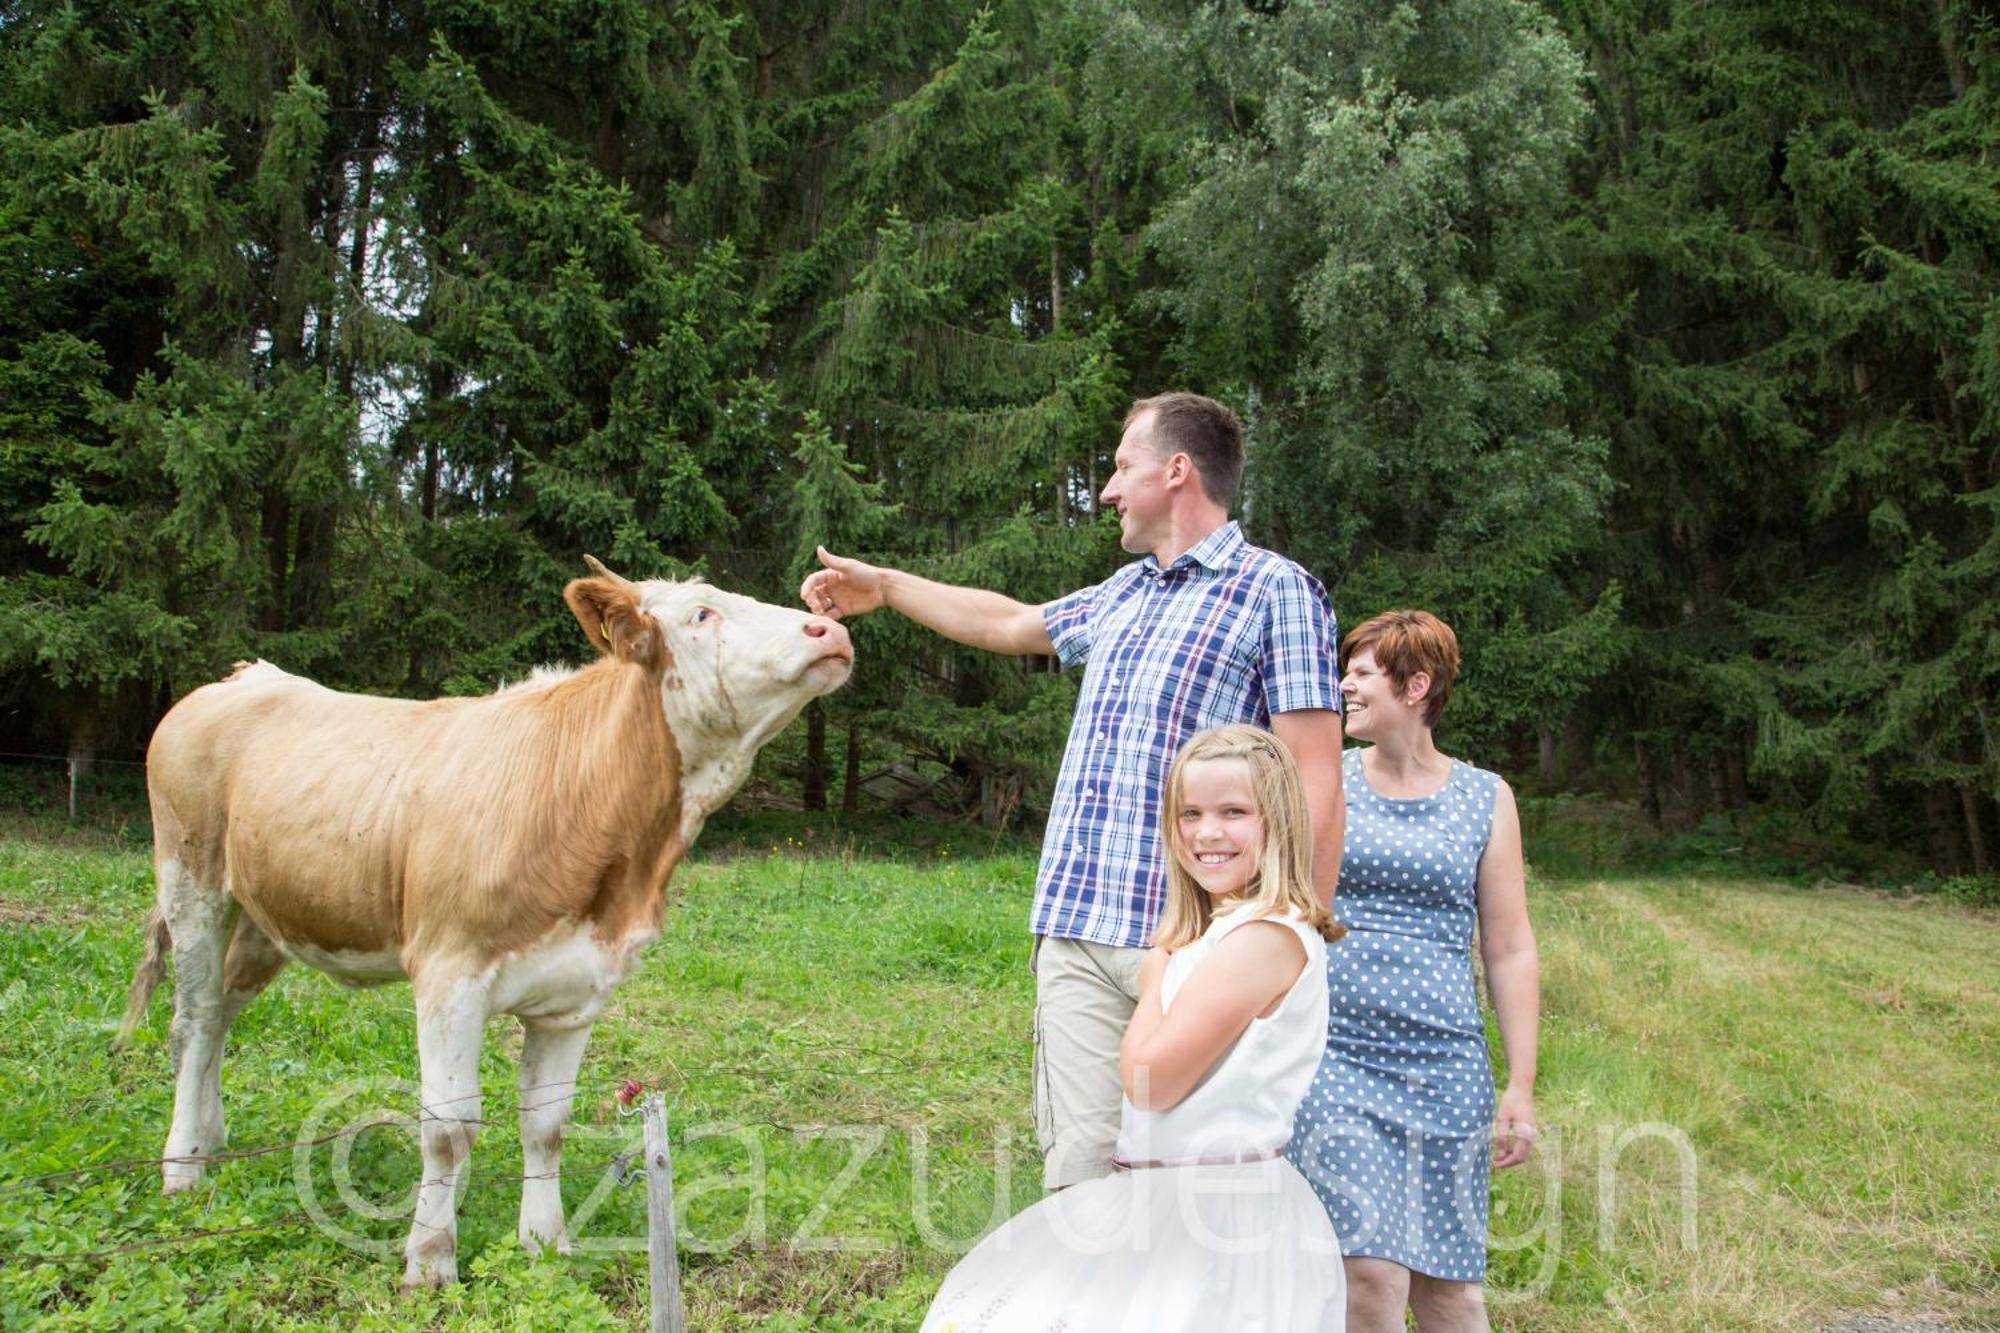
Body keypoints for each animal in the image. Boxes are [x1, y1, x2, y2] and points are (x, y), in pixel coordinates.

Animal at [117, 548, 852, 1280]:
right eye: (703, 613)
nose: (832, 630)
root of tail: (241, 676)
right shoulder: (450, 973)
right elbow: (449, 1128)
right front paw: (429, 1260)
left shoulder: (577, 991)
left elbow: (546, 1123)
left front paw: (546, 1242)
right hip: (192, 881)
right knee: (194, 1019)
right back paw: (182, 1165)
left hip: (267, 913)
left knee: (222, 1012)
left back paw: (211, 1137)